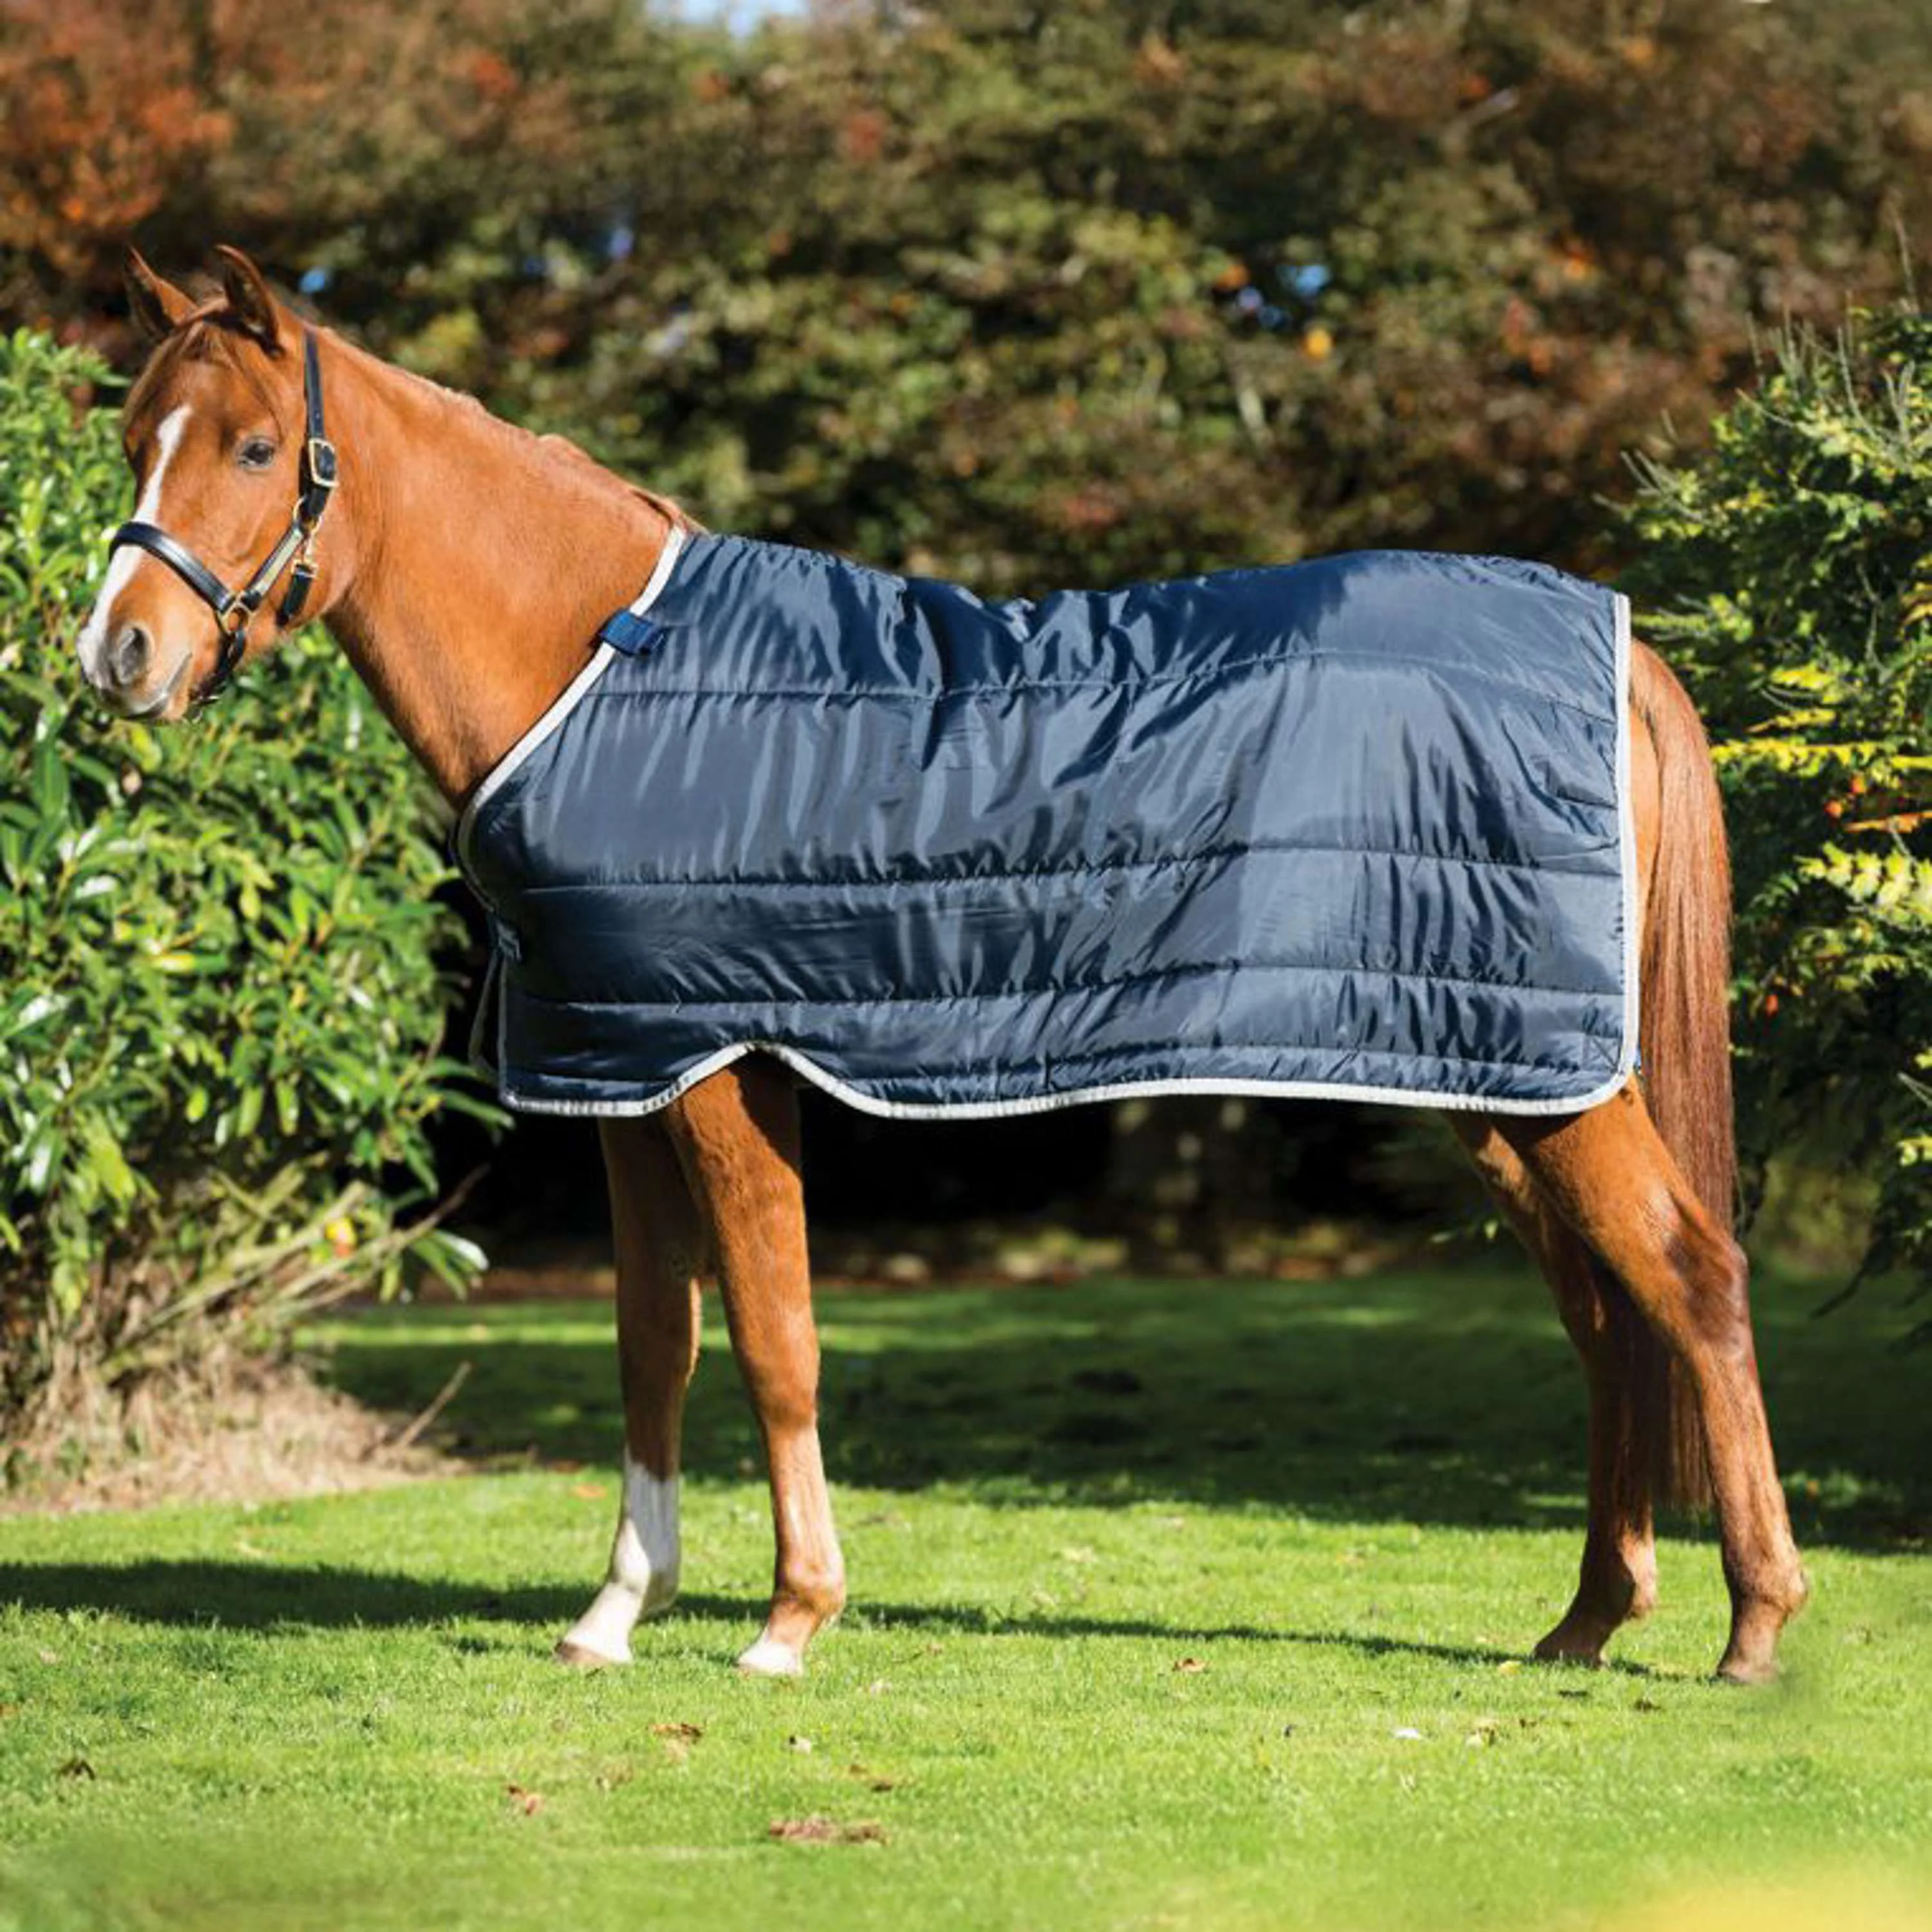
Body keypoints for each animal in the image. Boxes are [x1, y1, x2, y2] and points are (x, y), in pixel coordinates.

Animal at [74, 246, 1808, 1684]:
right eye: (133, 436)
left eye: (250, 449)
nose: (118, 656)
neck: (601, 667)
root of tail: (1615, 647)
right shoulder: (622, 1070)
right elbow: (653, 1346)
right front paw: (615, 1611)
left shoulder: (722, 1068)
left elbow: (773, 1338)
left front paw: (791, 1619)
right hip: (1489, 1074)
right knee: (1607, 1311)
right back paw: (1587, 1619)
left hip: (1545, 1084)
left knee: (1694, 1280)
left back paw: (1750, 1627)